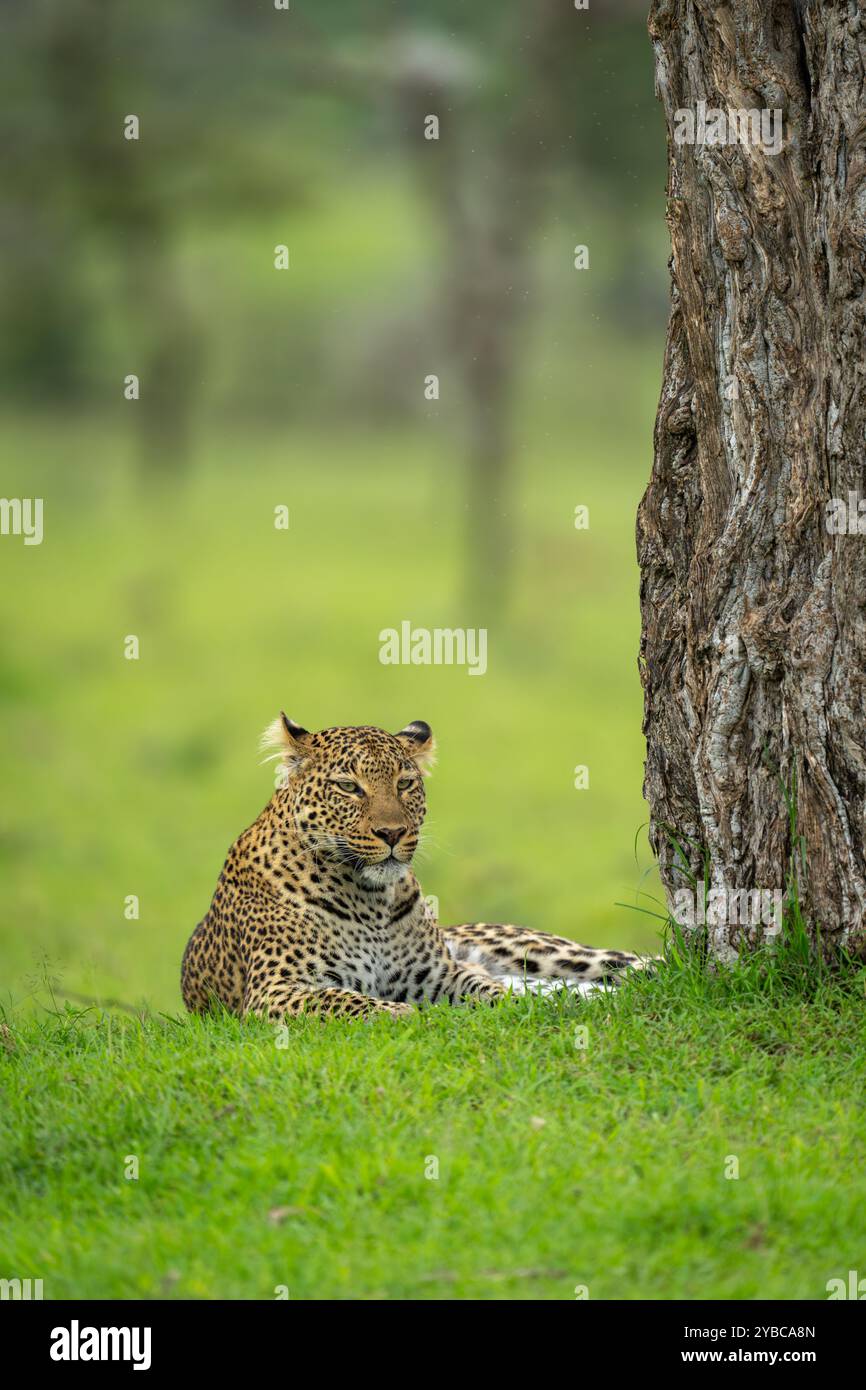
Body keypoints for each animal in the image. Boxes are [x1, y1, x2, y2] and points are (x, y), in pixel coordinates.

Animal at [183, 717, 653, 1023]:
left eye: (405, 783)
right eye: (348, 787)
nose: (392, 832)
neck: (369, 900)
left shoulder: (437, 974)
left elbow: (484, 985)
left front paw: (511, 999)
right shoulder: (274, 991)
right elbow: (343, 1001)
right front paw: (399, 1013)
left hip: (550, 952)